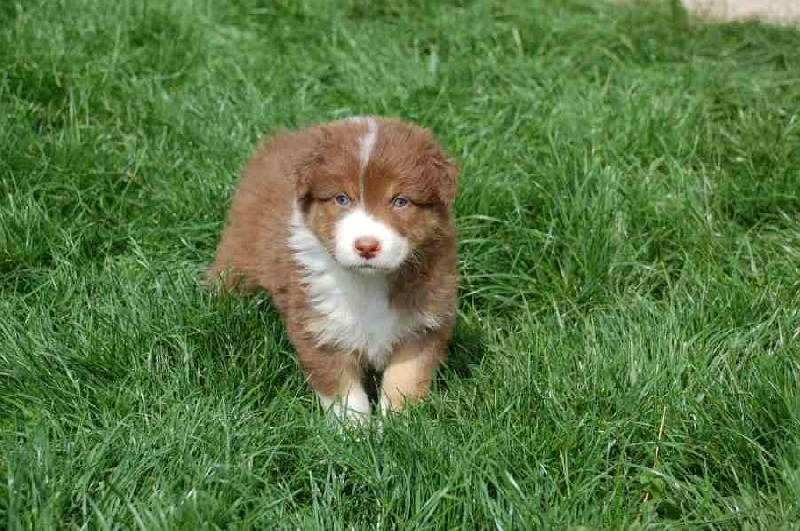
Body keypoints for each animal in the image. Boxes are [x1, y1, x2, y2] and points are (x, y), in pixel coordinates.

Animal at [207, 116, 458, 423]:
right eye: (341, 199)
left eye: (400, 201)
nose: (366, 246)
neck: (368, 282)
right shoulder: (319, 327)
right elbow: (345, 394)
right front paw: (354, 431)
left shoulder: (424, 325)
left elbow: (405, 381)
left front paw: (398, 425)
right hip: (240, 253)